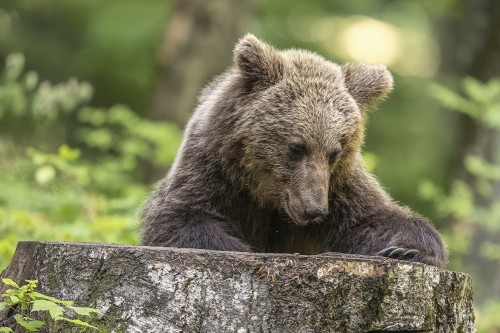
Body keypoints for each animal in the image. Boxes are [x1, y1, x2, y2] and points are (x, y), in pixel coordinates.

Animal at [141, 33, 446, 268]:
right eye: (296, 146)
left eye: (334, 152)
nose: (314, 209)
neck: (266, 195)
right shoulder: (212, 171)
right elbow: (179, 218)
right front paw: (241, 248)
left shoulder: (340, 188)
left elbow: (373, 219)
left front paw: (408, 250)